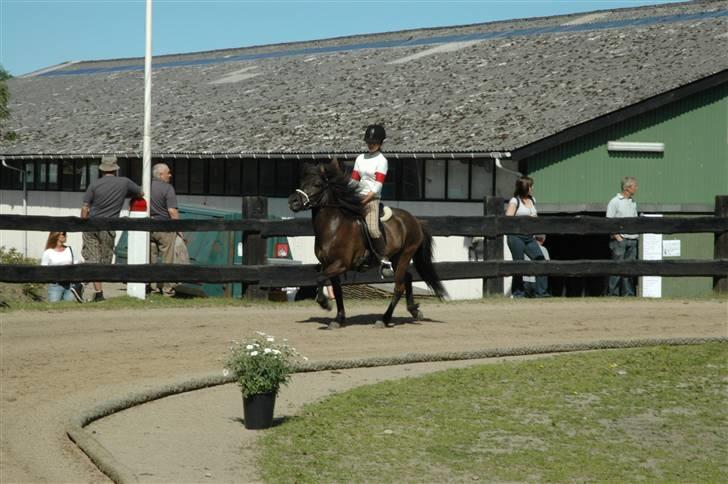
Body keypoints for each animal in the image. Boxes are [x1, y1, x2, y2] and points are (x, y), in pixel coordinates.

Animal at [288, 159, 446, 328]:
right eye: (302, 182)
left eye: (317, 184)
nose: (292, 201)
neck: (334, 227)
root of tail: (415, 220)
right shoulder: (329, 265)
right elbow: (336, 290)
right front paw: (338, 319)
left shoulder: (340, 264)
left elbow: (320, 279)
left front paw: (324, 303)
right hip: (396, 259)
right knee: (408, 278)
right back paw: (414, 311)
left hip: (405, 255)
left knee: (399, 287)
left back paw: (384, 320)